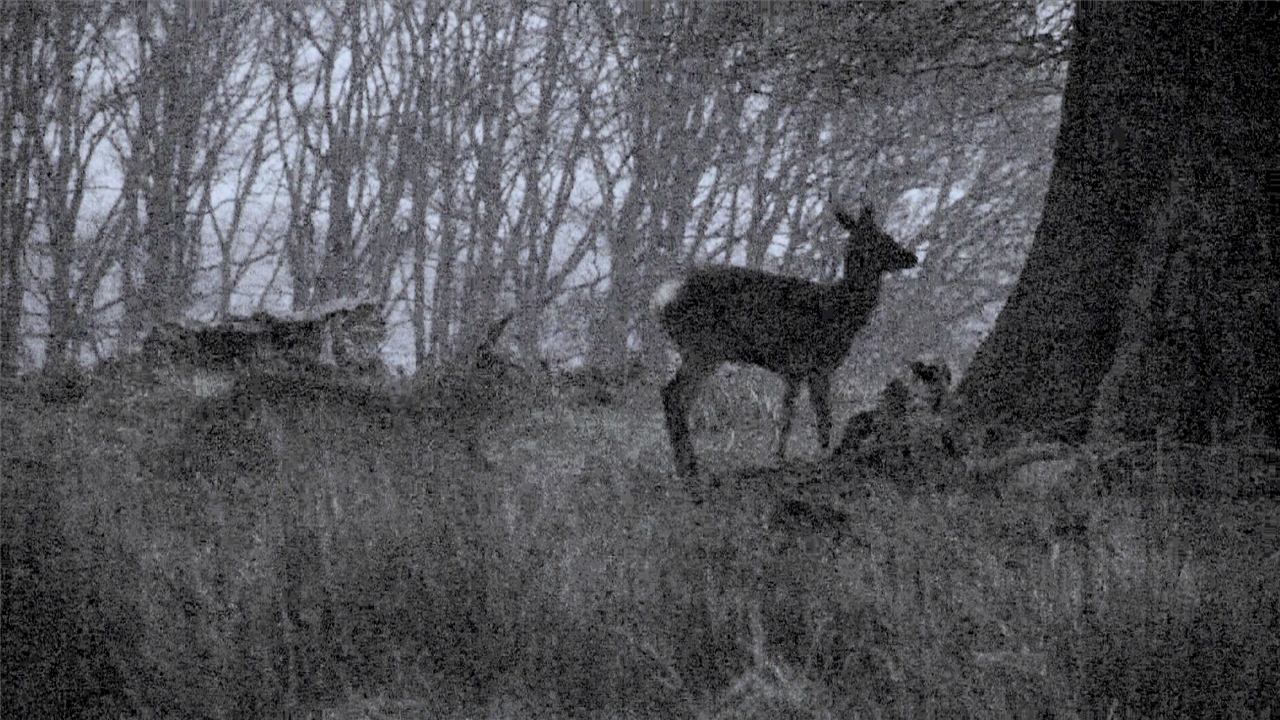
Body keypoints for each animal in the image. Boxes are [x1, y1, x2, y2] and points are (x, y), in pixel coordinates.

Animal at [650, 199, 921, 476]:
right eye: (883, 238)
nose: (912, 257)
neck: (839, 311)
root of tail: (662, 298)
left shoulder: (796, 370)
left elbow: (789, 414)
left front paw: (783, 456)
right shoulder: (813, 363)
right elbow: (819, 416)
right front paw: (816, 456)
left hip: (701, 352)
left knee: (679, 398)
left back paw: (687, 465)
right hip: (702, 348)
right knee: (673, 394)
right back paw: (688, 466)